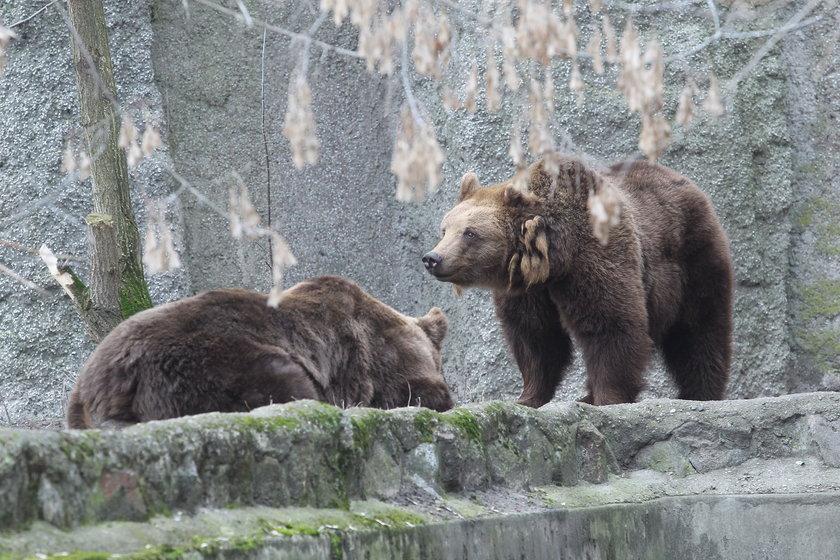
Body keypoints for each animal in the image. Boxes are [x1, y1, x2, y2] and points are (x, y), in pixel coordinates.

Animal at [424, 155, 732, 410]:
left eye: (470, 233)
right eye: (444, 229)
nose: (432, 258)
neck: (551, 258)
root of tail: (684, 181)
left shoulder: (596, 255)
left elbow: (611, 324)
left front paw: (608, 398)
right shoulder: (528, 291)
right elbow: (534, 337)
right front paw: (528, 396)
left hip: (692, 259)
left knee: (699, 329)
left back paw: (701, 392)